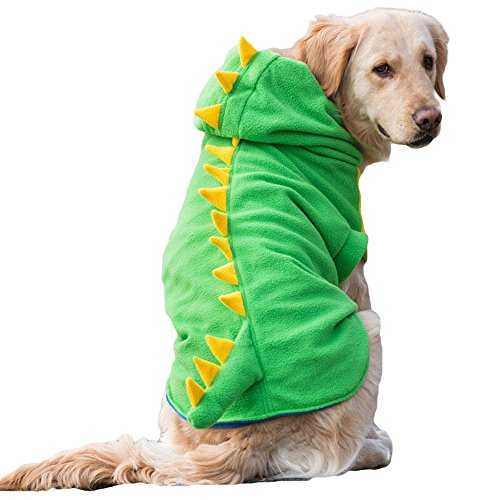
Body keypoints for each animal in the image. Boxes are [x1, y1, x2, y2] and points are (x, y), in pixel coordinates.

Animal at [0, 8, 448, 490]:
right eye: (382, 69)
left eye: (427, 62)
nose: (431, 118)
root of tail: (238, 447)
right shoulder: (350, 254)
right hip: (369, 330)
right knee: (335, 458)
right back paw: (373, 446)